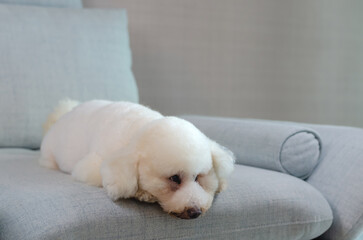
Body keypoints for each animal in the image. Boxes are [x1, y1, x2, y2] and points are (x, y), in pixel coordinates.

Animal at [38, 99, 235, 219]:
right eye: (174, 178)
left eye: (198, 177)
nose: (195, 212)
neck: (139, 129)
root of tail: (62, 116)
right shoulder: (92, 167)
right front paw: (144, 194)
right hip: (49, 156)